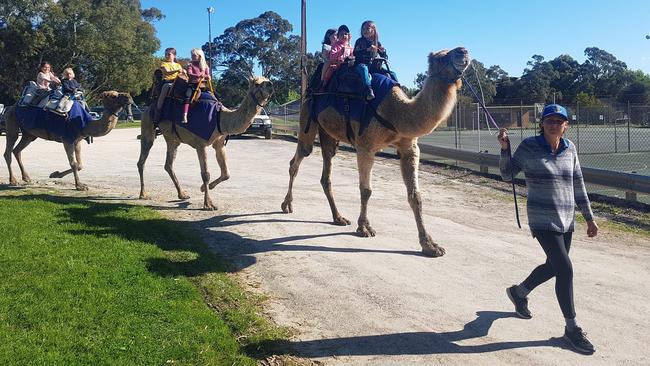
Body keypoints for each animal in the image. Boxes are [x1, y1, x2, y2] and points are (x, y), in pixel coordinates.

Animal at [3, 90, 133, 190]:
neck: (85, 123)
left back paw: (26, 178)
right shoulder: (67, 139)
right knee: (8, 149)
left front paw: (55, 174)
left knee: (17, 150)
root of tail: (10, 107)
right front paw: (80, 186)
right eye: (113, 96)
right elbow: (74, 163)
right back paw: (13, 180)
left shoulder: (77, 140)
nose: (129, 97)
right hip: (12, 121)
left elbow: (80, 165)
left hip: (29, 134)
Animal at [138, 76, 272, 210]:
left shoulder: (219, 144)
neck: (220, 118)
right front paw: (208, 204)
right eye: (257, 84)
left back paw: (182, 194)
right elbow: (206, 174)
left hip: (172, 138)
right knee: (142, 159)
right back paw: (143, 194)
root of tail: (148, 108)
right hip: (147, 126)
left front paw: (203, 188)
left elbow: (226, 173)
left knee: (168, 164)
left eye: (266, 79)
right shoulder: (200, 144)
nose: (270, 84)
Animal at [280, 46, 468, 258]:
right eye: (441, 57)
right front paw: (364, 228)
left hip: (328, 135)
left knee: (325, 174)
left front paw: (430, 245)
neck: (396, 112)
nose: (463, 51)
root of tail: (310, 89)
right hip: (307, 118)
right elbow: (366, 190)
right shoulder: (365, 147)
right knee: (297, 160)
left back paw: (338, 217)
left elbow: (415, 196)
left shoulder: (409, 147)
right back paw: (287, 205)